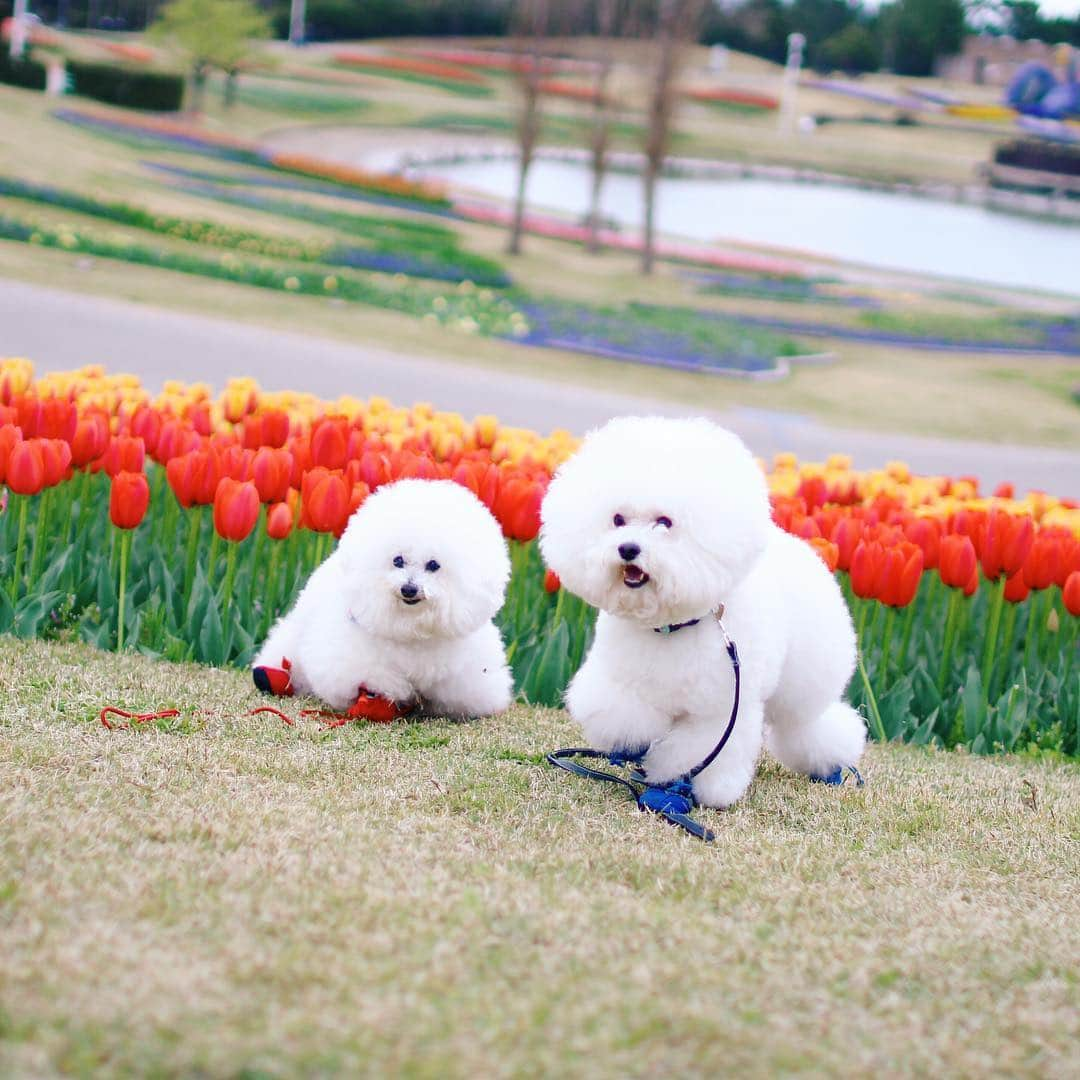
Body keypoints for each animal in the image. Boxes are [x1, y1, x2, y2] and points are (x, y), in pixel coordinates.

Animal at [259, 479, 516, 717]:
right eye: (398, 560)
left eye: (433, 565)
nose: (409, 589)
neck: (413, 628)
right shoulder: (357, 659)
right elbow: (379, 679)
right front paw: (386, 701)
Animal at [540, 416, 868, 807]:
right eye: (617, 519)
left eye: (664, 523)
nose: (628, 549)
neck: (672, 626)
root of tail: (805, 549)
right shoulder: (626, 681)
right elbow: (622, 713)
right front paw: (631, 745)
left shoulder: (721, 710)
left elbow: (700, 751)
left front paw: (703, 787)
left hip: (805, 681)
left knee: (806, 724)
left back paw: (828, 762)